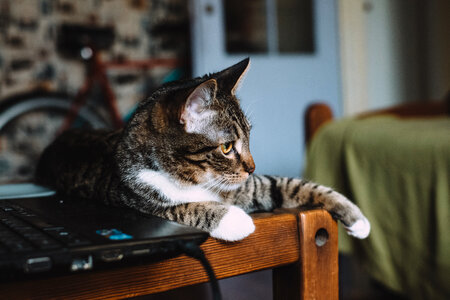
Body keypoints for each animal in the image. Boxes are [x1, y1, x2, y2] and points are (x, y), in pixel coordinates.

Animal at [36, 58, 370, 241]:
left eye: (249, 137)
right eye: (226, 147)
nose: (252, 167)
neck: (197, 180)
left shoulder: (251, 186)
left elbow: (295, 185)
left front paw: (358, 219)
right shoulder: (136, 200)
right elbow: (182, 207)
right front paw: (235, 220)